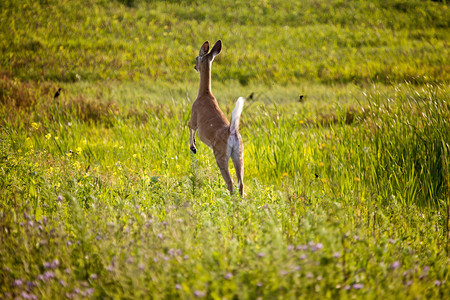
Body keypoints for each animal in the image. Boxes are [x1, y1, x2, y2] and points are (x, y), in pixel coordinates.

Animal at [190, 40, 246, 197]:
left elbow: (190, 127)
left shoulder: (194, 116)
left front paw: (193, 147)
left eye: (197, 58)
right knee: (241, 183)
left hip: (221, 155)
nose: (194, 66)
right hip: (239, 154)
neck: (204, 94)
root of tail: (232, 132)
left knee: (230, 182)